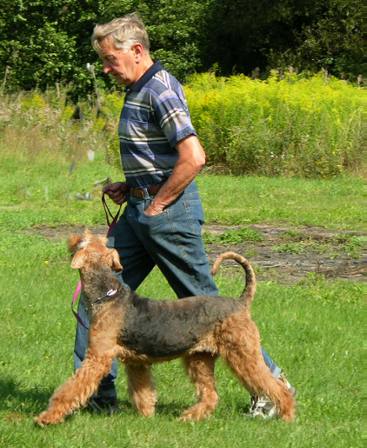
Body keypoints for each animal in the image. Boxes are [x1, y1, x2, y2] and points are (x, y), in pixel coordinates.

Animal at [35, 229, 296, 426]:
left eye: (85, 237)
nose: (72, 236)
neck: (107, 295)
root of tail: (240, 302)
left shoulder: (97, 358)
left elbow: (71, 389)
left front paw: (47, 418)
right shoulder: (136, 362)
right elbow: (143, 393)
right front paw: (147, 417)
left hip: (242, 353)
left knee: (273, 386)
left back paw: (287, 416)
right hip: (199, 359)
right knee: (211, 395)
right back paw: (188, 417)